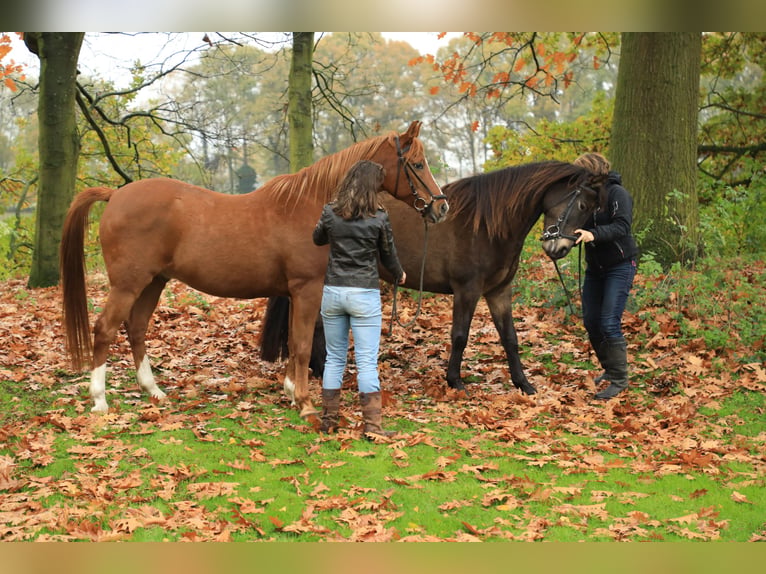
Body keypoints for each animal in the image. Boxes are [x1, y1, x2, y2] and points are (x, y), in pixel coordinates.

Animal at [60, 120, 449, 418]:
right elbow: (302, 344)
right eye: (417, 164)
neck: (311, 205)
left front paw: (291, 391)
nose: (441, 207)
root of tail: (115, 195)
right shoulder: (306, 289)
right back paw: (100, 400)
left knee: (137, 327)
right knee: (105, 329)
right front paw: (305, 403)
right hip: (129, 283)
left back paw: (153, 390)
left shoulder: (296, 293)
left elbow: (293, 342)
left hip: (153, 281)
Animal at [259, 160, 606, 395]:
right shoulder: (467, 291)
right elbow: (460, 336)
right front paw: (455, 381)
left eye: (592, 210)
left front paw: (523, 384)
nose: (559, 248)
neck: (487, 225)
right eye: (582, 204)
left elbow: (510, 338)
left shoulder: (499, 292)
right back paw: (320, 370)